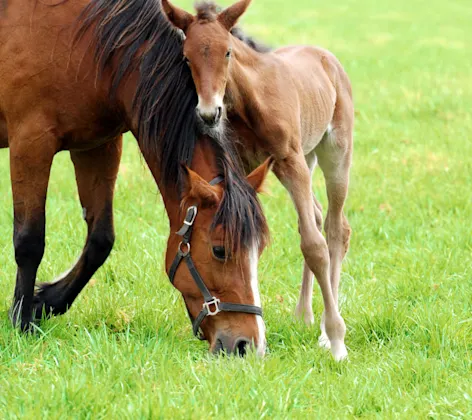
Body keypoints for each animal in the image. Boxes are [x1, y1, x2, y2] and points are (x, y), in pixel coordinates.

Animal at [0, 0, 272, 356]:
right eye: (219, 250)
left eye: (260, 250)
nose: (248, 344)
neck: (90, 43)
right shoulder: (31, 142)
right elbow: (29, 240)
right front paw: (22, 320)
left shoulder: (98, 145)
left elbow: (100, 239)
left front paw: (45, 301)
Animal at [162, 0, 354, 360]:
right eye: (186, 57)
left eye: (226, 52)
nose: (209, 113)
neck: (251, 98)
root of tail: (327, 57)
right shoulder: (249, 165)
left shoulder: (290, 158)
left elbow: (314, 245)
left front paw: (336, 341)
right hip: (302, 160)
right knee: (315, 215)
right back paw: (303, 314)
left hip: (334, 151)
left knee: (336, 227)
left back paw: (325, 331)